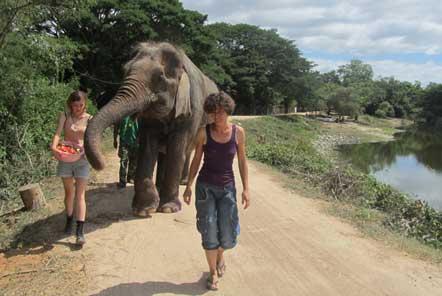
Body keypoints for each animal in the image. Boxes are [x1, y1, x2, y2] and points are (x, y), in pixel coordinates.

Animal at [84, 41, 218, 216]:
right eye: (125, 70)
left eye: (159, 77)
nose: (101, 163)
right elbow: (147, 148)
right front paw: (144, 210)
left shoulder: (191, 110)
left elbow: (176, 150)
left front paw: (168, 209)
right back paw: (160, 187)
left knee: (186, 151)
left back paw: (182, 183)